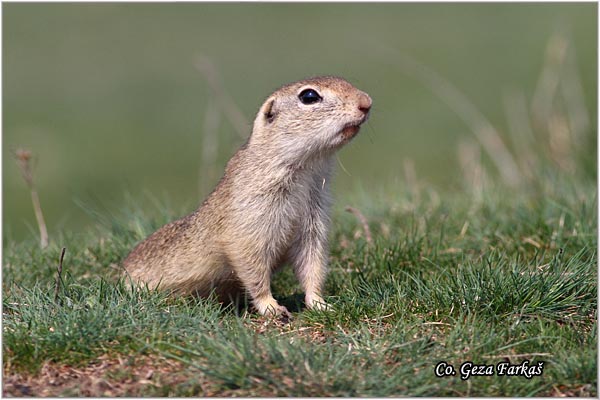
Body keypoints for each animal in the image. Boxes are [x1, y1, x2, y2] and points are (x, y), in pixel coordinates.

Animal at [123, 76, 370, 318]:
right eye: (309, 96)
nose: (366, 102)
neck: (306, 171)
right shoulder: (252, 216)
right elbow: (252, 264)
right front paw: (272, 308)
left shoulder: (314, 218)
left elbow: (312, 262)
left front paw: (320, 304)